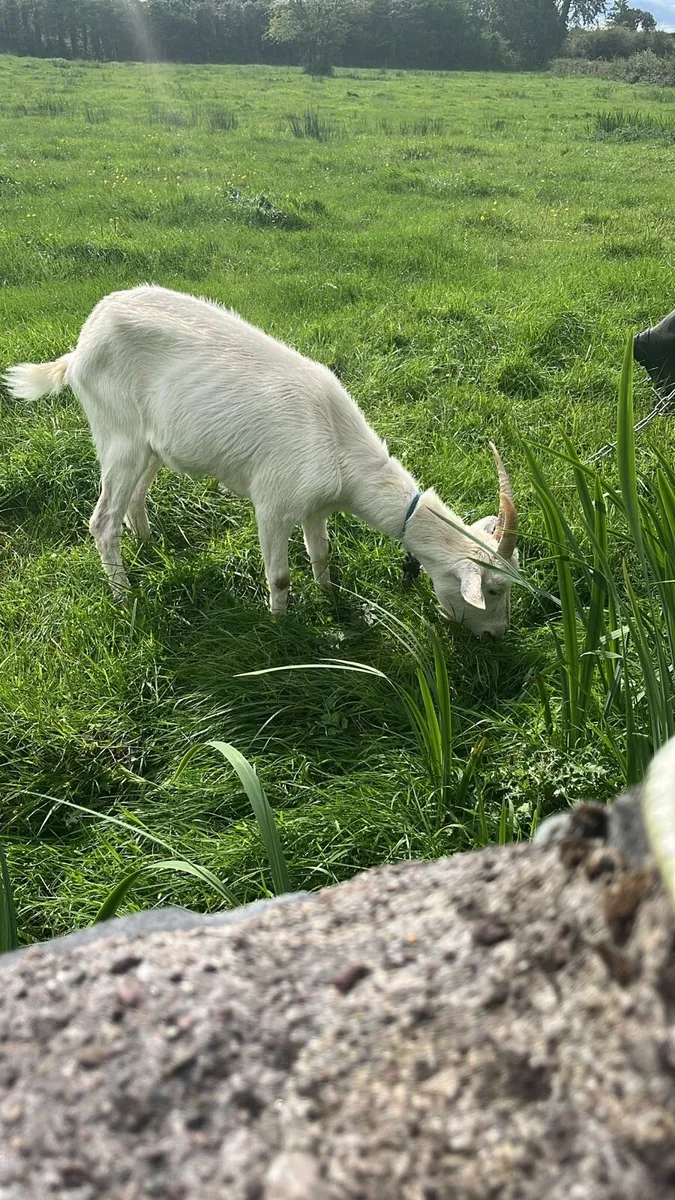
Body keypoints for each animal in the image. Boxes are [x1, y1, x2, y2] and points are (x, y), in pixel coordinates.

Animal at [4, 285, 519, 636]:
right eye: (493, 590)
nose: (496, 636)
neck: (338, 443)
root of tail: (79, 347)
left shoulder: (316, 506)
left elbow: (321, 553)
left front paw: (330, 596)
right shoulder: (273, 503)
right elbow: (281, 574)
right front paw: (279, 629)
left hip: (150, 443)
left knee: (135, 498)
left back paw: (151, 546)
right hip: (118, 433)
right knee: (102, 520)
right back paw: (125, 593)